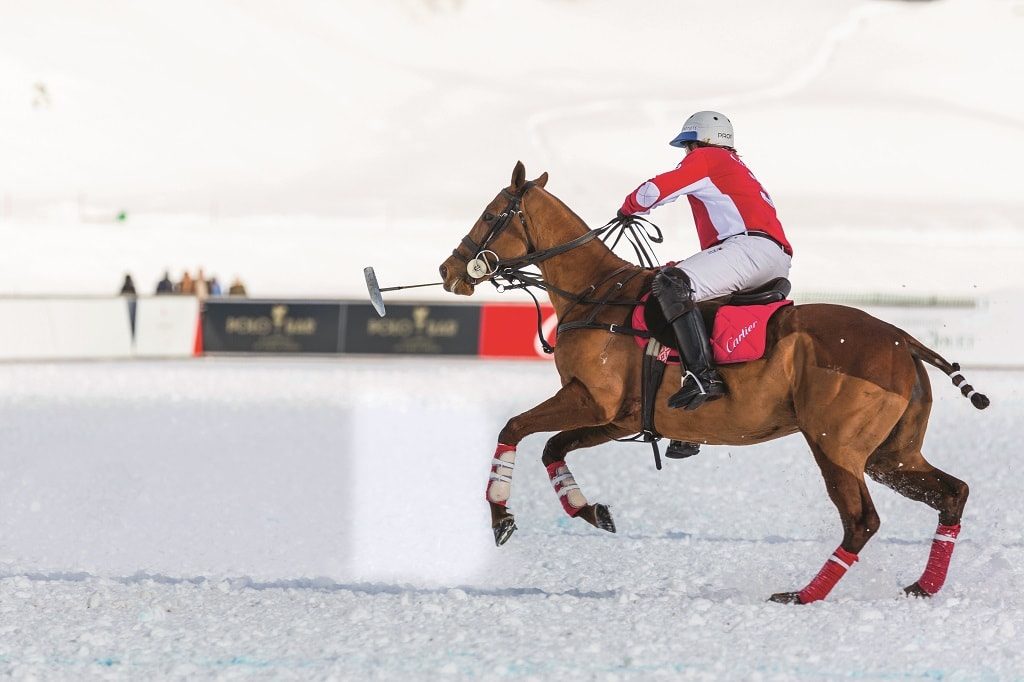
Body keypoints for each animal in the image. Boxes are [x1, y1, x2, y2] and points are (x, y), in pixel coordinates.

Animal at [436, 161, 987, 602]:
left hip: (836, 445)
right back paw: (923, 586)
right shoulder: (620, 418)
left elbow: (514, 427)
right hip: (890, 453)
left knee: (861, 521)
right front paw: (590, 510)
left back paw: (803, 595)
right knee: (952, 492)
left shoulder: (592, 400)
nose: (448, 270)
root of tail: (904, 339)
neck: (594, 294)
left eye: (490, 214)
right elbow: (553, 447)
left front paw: (501, 519)